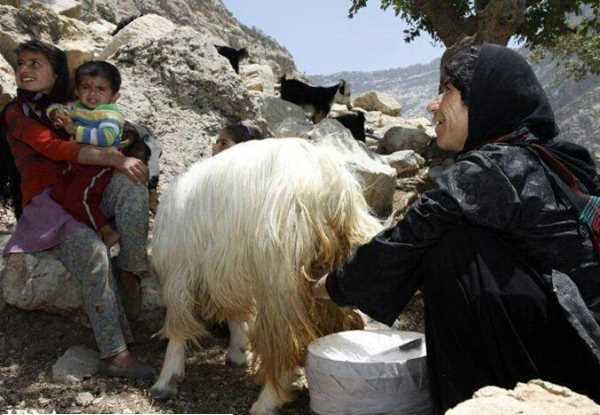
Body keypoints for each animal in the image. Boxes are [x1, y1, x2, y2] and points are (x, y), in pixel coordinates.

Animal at [152, 139, 382, 412]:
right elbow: (235, 311)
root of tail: (329, 185)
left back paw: (267, 401)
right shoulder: (226, 268)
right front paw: (238, 351)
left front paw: (166, 379)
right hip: (331, 268)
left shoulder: (180, 270)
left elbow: (178, 325)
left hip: (279, 279)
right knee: (344, 320)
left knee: (286, 342)